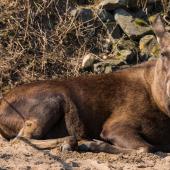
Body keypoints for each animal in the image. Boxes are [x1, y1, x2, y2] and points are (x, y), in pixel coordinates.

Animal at [0, 14, 170, 154]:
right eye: (163, 53)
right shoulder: (114, 126)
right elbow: (146, 148)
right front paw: (91, 144)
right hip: (50, 103)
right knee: (20, 139)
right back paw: (70, 143)